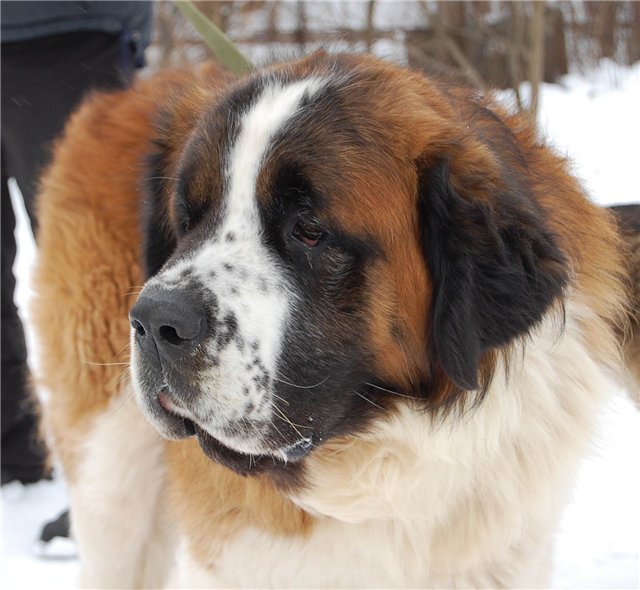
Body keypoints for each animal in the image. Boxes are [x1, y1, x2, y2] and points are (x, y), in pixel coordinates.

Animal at [32, 53, 636, 588]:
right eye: (186, 220)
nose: (155, 321)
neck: (386, 458)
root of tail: (123, 93)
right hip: (110, 473)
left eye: (308, 230)